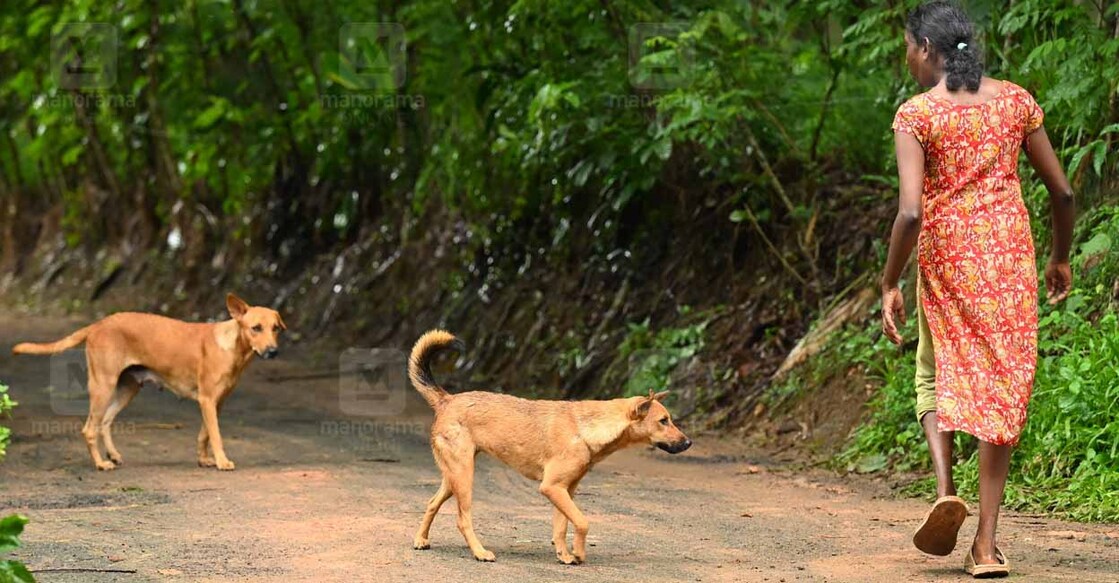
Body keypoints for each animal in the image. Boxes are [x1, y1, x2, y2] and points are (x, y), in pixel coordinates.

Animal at [13, 293, 284, 469]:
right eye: (256, 328)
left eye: (275, 328)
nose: (273, 352)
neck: (233, 347)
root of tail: (98, 324)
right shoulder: (207, 400)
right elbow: (215, 435)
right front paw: (222, 461)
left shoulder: (217, 402)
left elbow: (204, 434)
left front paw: (204, 459)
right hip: (103, 386)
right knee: (89, 428)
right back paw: (101, 463)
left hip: (127, 389)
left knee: (105, 422)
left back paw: (112, 455)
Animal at [411, 331, 689, 563]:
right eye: (663, 421)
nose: (688, 442)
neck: (585, 428)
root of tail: (447, 399)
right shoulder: (552, 487)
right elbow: (582, 522)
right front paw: (578, 553)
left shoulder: (565, 490)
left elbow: (562, 527)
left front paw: (564, 555)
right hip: (464, 476)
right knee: (462, 519)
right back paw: (480, 552)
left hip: (453, 477)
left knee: (431, 503)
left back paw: (420, 540)